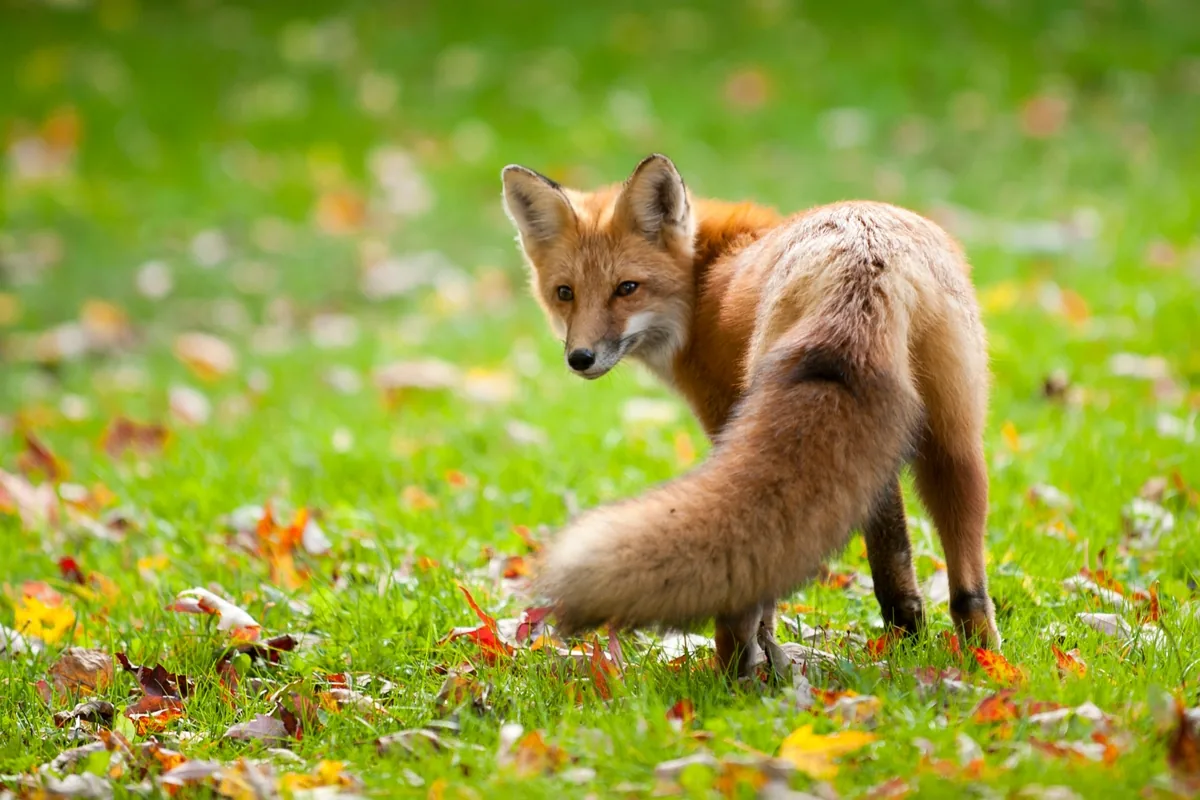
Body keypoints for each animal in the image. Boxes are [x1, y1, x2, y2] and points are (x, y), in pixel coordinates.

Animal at [500, 153, 1000, 677]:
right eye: (565, 293)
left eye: (627, 289)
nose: (580, 358)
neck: (702, 283)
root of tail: (866, 253)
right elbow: (894, 554)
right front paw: (907, 634)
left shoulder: (724, 416)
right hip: (956, 442)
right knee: (968, 589)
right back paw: (981, 663)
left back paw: (731, 672)